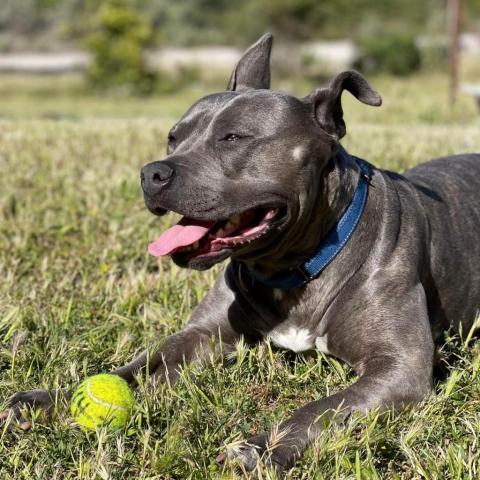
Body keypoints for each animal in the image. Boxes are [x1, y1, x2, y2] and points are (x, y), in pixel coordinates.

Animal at [2, 32, 480, 472]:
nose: (151, 172)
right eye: (173, 137)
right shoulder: (202, 334)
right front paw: (50, 398)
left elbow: (322, 410)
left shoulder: (399, 368)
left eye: (233, 138)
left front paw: (262, 447)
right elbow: (135, 366)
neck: (296, 266)